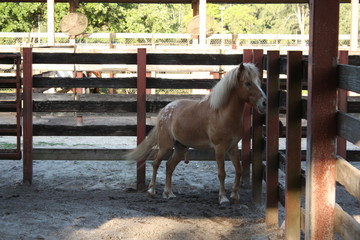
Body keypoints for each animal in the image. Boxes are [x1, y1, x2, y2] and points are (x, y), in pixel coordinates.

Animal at [125, 62, 266, 203]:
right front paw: (223, 198)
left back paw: (168, 193)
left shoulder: (233, 147)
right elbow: (222, 173)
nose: (264, 102)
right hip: (166, 146)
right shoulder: (219, 148)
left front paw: (235, 196)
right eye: (247, 83)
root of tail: (165, 110)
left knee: (169, 166)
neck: (222, 114)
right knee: (156, 163)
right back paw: (151, 191)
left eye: (258, 82)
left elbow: (239, 170)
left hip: (180, 148)